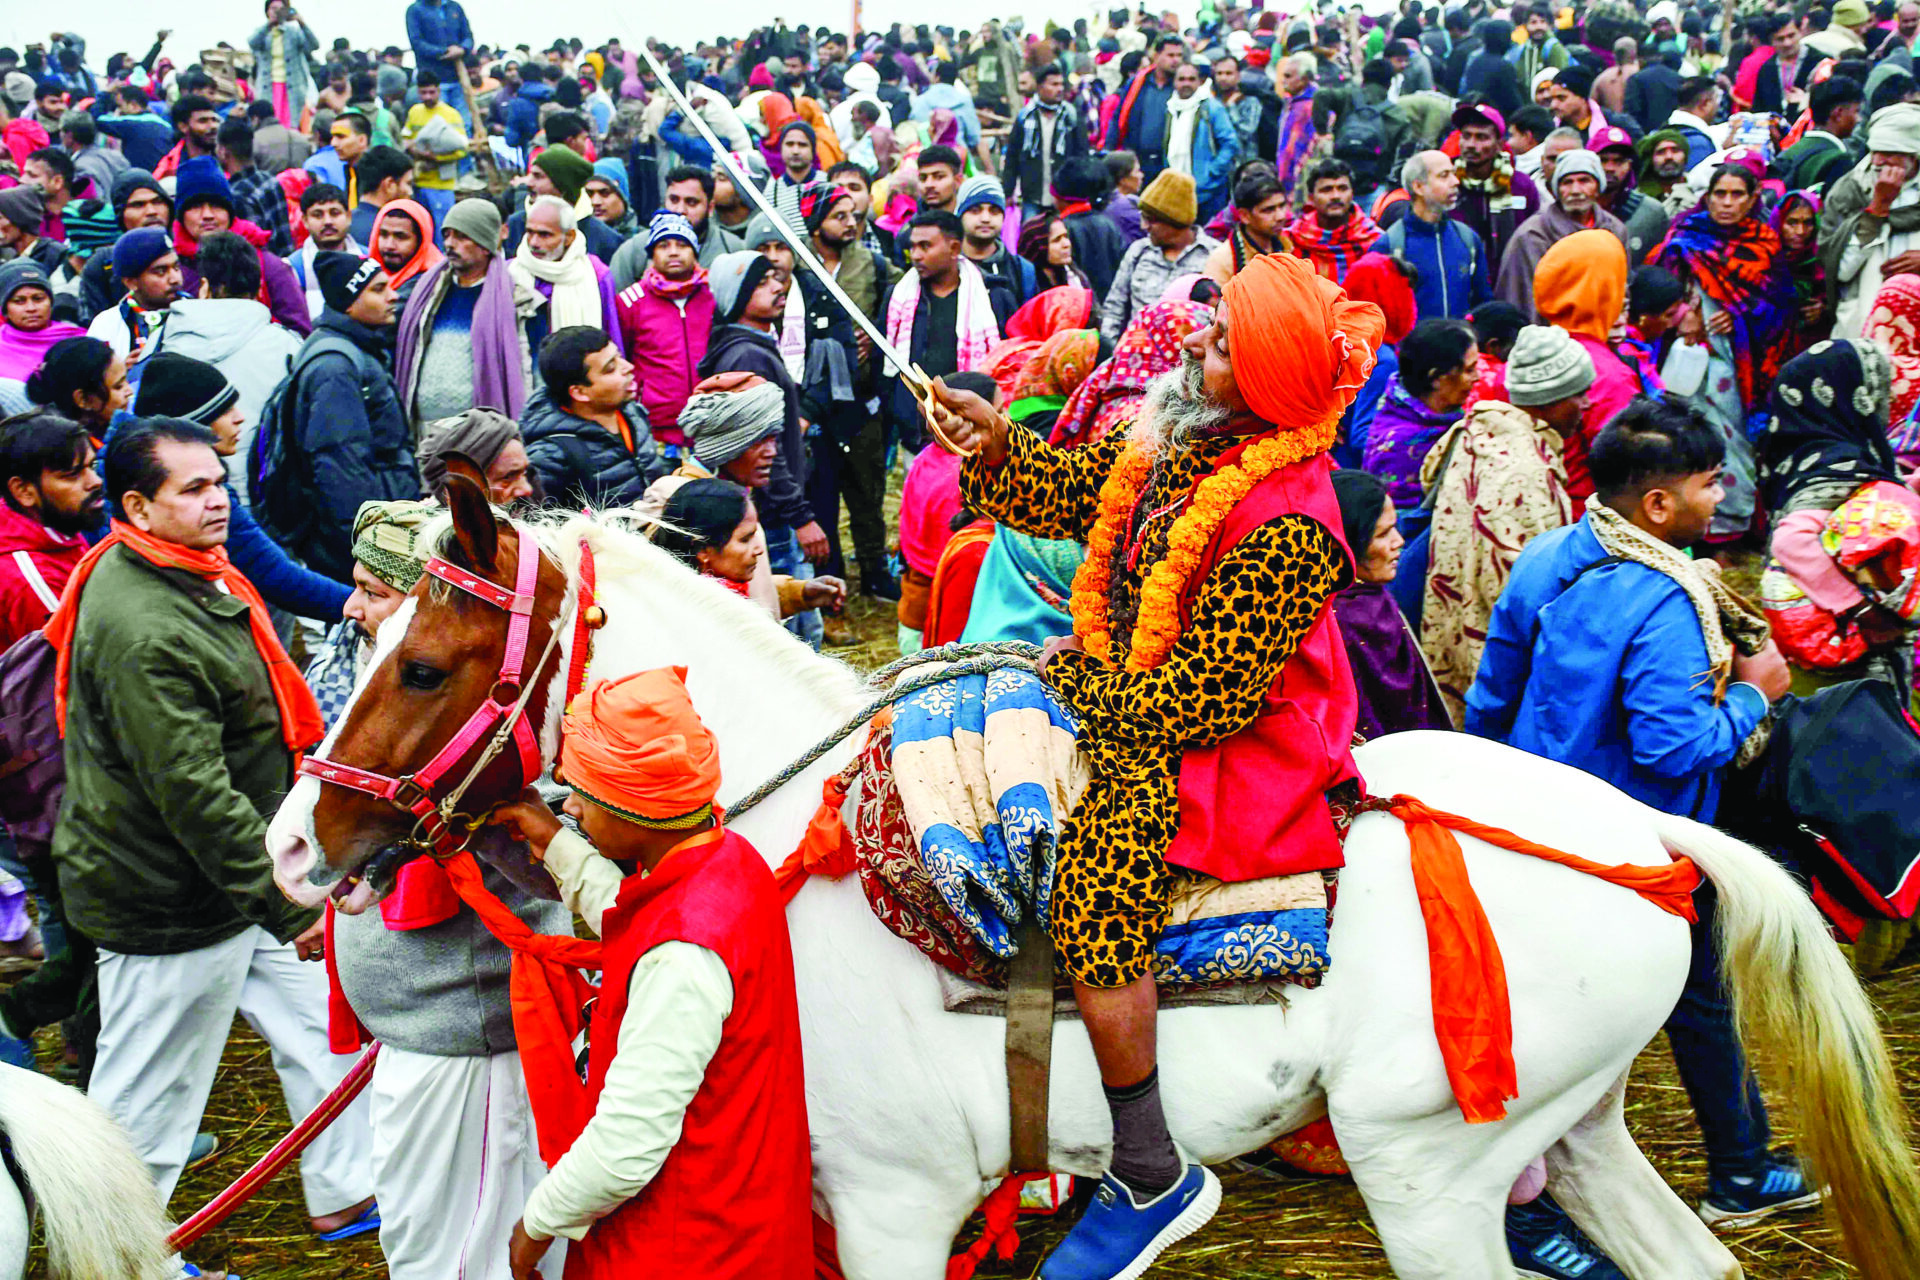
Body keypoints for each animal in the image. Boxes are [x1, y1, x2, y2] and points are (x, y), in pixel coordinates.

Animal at [270, 514, 1920, 1280]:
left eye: (426, 665)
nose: (293, 842)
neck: (802, 856)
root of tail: (1642, 837)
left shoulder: (889, 1209)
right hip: (1568, 1135)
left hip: (1430, 1174)